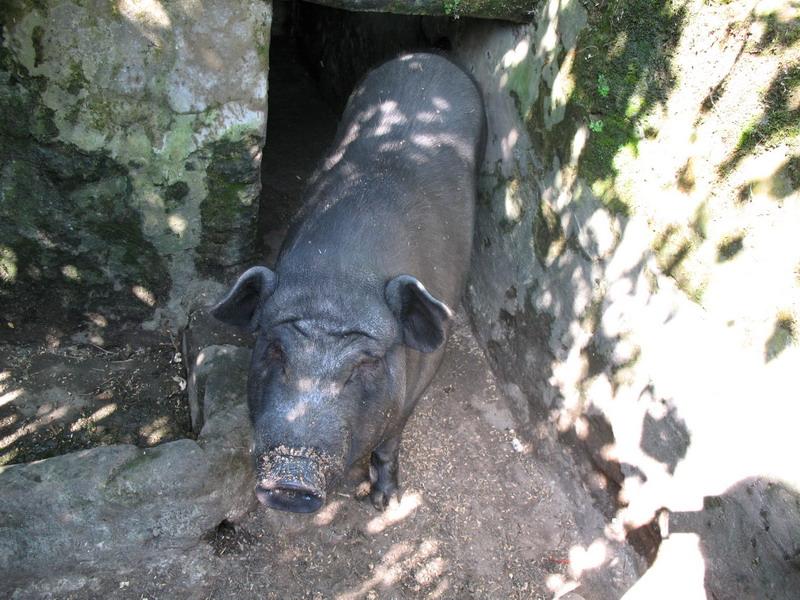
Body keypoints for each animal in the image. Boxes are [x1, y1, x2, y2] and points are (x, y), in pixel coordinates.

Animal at [212, 52, 484, 510]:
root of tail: (424, 56)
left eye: (366, 363)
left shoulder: (419, 382)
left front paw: (384, 503)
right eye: (274, 348)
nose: (291, 479)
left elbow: (390, 441)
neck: (338, 281)